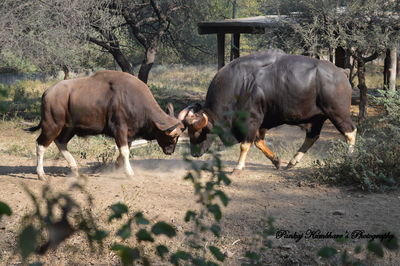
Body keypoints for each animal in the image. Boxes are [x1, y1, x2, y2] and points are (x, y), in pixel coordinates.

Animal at [26, 69, 184, 180]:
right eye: (171, 137)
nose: (170, 151)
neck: (134, 100)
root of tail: (47, 93)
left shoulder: (129, 134)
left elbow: (124, 151)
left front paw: (117, 167)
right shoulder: (120, 129)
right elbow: (125, 151)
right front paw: (129, 173)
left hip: (69, 128)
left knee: (61, 142)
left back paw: (75, 169)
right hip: (52, 125)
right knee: (41, 145)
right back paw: (41, 174)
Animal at [178, 51, 356, 170]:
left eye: (200, 132)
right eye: (189, 132)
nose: (194, 153)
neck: (239, 85)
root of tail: (342, 72)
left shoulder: (251, 120)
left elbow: (245, 145)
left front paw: (238, 166)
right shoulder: (260, 123)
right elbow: (258, 142)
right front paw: (276, 160)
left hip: (337, 113)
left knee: (350, 133)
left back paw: (349, 158)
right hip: (318, 117)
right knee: (312, 136)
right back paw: (292, 162)